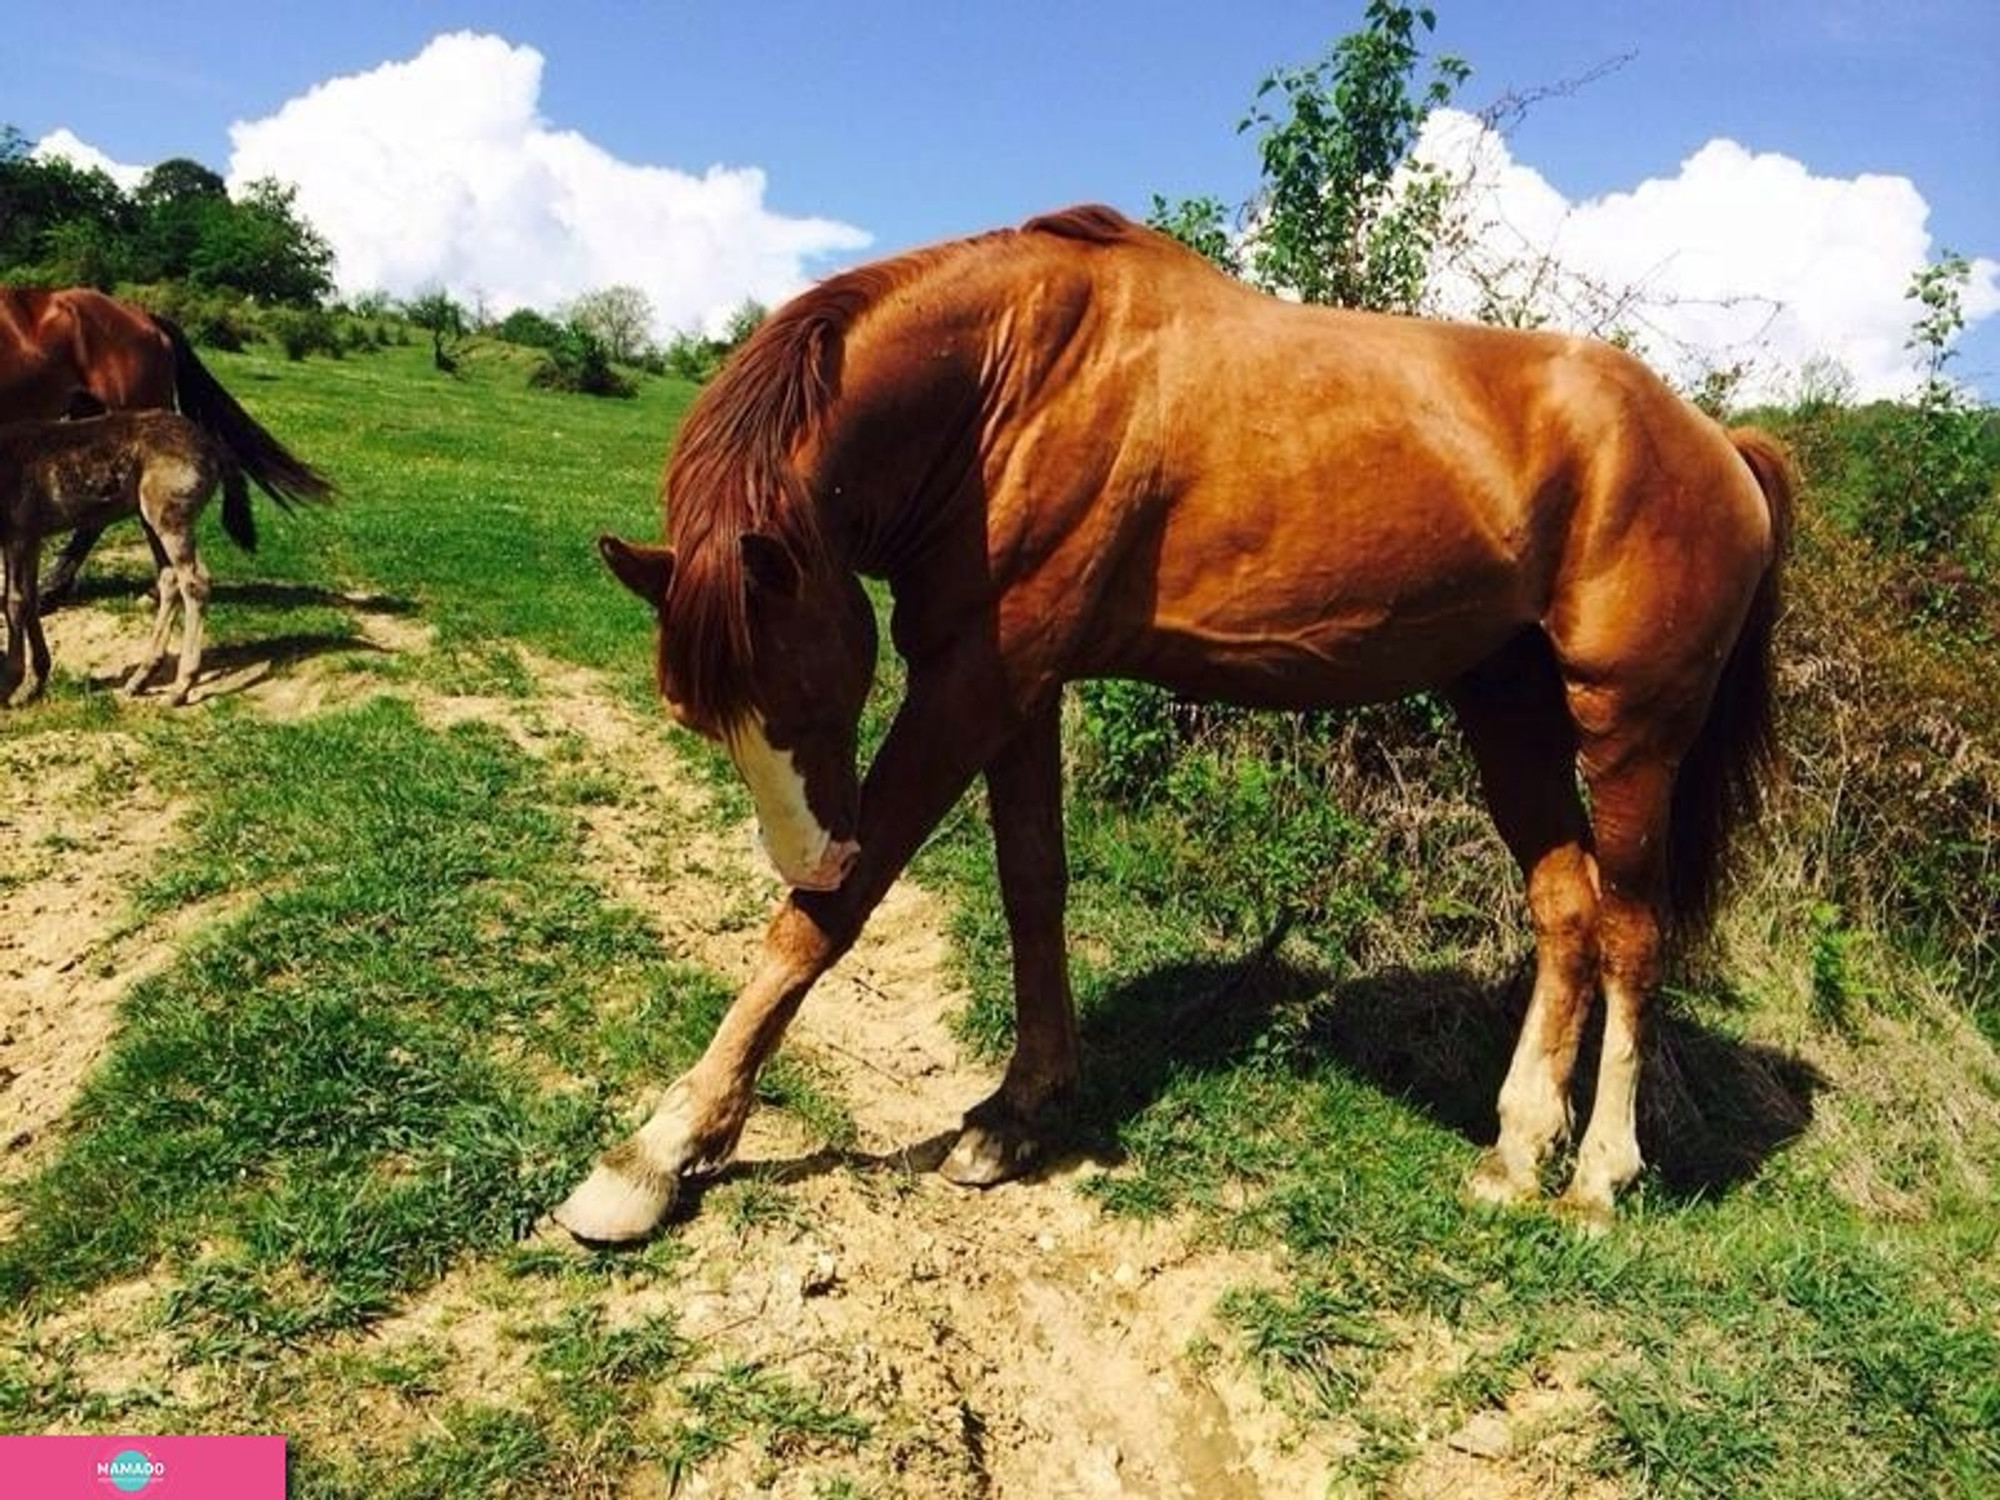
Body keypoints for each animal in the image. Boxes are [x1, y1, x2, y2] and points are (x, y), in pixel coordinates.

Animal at [564, 206, 1800, 1248]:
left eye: (816, 693)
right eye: (699, 715)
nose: (812, 847)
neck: (1009, 384)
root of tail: (1715, 442)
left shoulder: (969, 686)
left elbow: (824, 922)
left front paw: (660, 1152)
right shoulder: (1015, 685)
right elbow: (1031, 890)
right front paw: (1019, 1115)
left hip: (1631, 733)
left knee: (1633, 932)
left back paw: (1597, 1175)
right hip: (1508, 709)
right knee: (1566, 912)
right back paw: (1517, 1149)